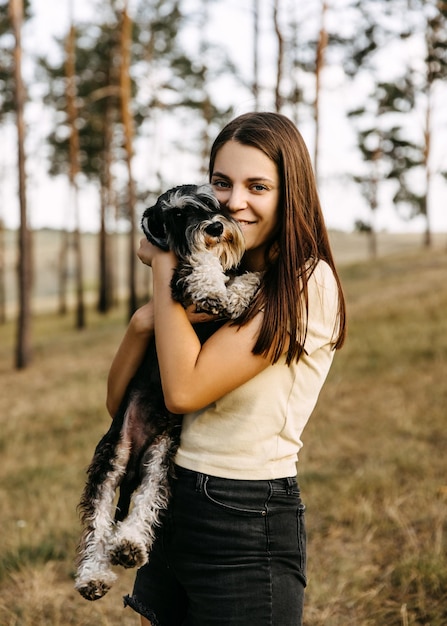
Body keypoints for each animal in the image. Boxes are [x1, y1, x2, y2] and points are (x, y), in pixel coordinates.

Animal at [74, 182, 262, 600]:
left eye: (210, 202)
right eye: (177, 214)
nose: (214, 227)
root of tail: (135, 457)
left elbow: (239, 279)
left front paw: (243, 288)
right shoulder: (177, 278)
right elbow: (202, 264)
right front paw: (212, 288)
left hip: (159, 461)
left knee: (143, 506)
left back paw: (129, 546)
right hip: (110, 460)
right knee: (97, 524)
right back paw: (94, 575)